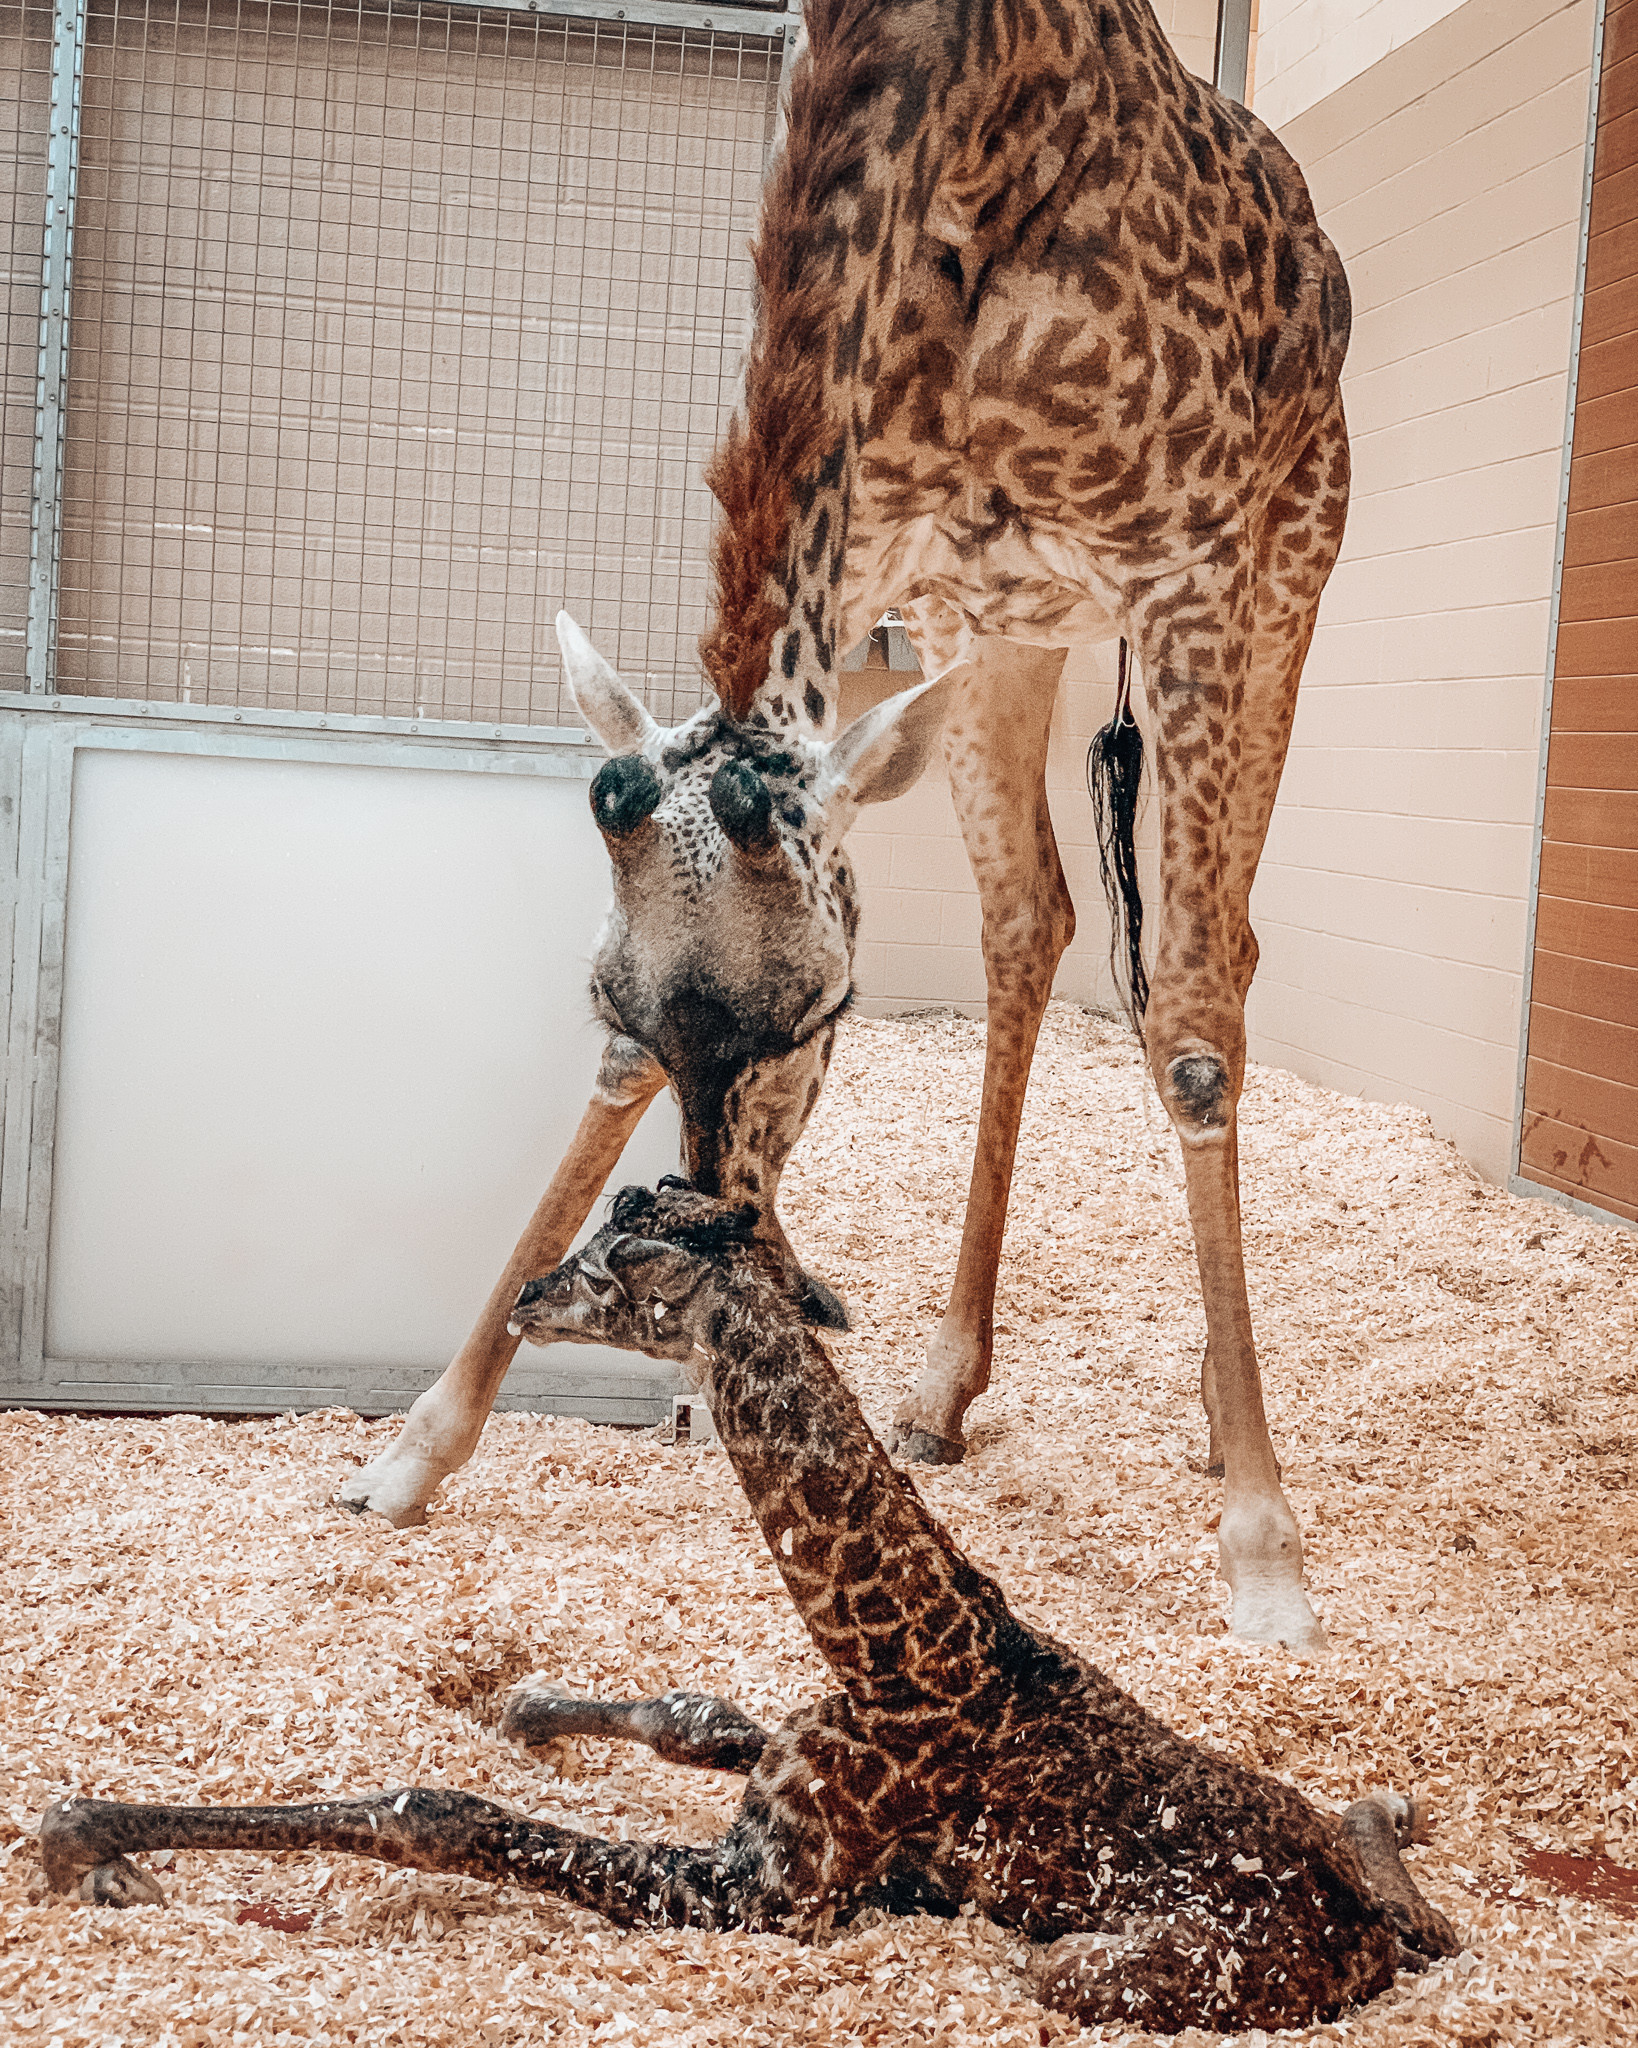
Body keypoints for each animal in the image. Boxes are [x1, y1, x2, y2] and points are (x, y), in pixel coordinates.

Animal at [44, 1187, 1457, 2031]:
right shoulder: (770, 1771)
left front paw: (85, 1830)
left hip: (1086, 1960)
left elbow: (438, 1810)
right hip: (1348, 1864)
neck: (906, 1648)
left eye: (610, 1267)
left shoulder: (757, 1893)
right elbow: (693, 1706)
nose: (523, 1290)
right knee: (1386, 1844)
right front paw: (527, 1702)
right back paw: (1391, 1810)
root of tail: (1363, 1935)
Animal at [339, 0, 1351, 1654]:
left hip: (1290, 563)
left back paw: (1217, 1423)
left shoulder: (1194, 566)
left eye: (826, 1014)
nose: (707, 1260)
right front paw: (412, 1450)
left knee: (1220, 961)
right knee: (1033, 916)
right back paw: (942, 1388)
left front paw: (1265, 1551)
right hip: (1005, 629)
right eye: (603, 1001)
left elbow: (1192, 1021)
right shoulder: (875, 543)